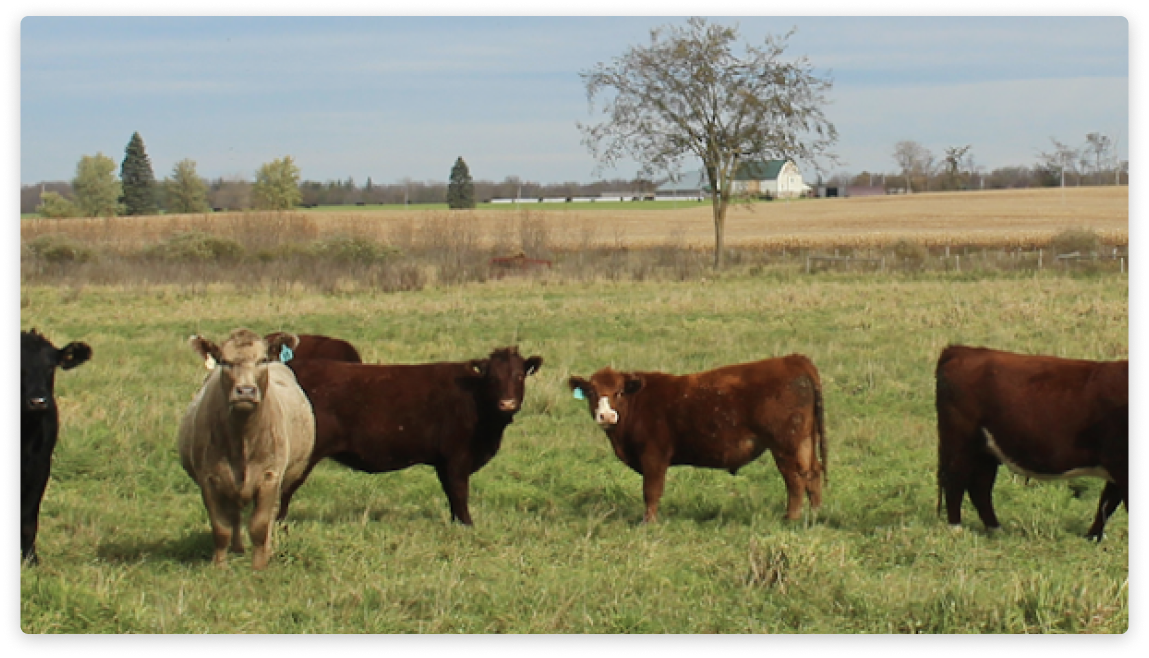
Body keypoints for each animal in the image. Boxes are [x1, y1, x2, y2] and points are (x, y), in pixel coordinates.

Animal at [173, 330, 314, 567]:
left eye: (262, 360)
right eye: (225, 361)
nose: (246, 391)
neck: (243, 440)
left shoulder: (270, 476)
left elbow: (259, 525)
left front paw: (259, 565)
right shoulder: (209, 479)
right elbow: (221, 528)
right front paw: (219, 566)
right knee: (235, 516)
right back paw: (237, 549)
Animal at [270, 344, 542, 523]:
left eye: (519, 375)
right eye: (492, 378)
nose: (507, 403)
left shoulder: (444, 462)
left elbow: (452, 496)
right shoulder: (456, 458)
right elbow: (459, 494)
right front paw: (467, 526)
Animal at [567, 355, 827, 521]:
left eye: (619, 392)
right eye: (591, 392)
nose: (606, 415)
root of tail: (793, 360)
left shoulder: (654, 455)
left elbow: (651, 491)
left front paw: (648, 523)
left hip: (784, 446)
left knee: (795, 480)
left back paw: (791, 518)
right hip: (804, 442)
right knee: (812, 473)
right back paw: (814, 515)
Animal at [932, 344, 1130, 539]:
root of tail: (962, 349)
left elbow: (1107, 504)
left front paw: (1092, 538)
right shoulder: (1120, 464)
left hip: (986, 451)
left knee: (980, 487)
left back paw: (996, 529)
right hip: (960, 444)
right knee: (955, 480)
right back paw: (956, 528)